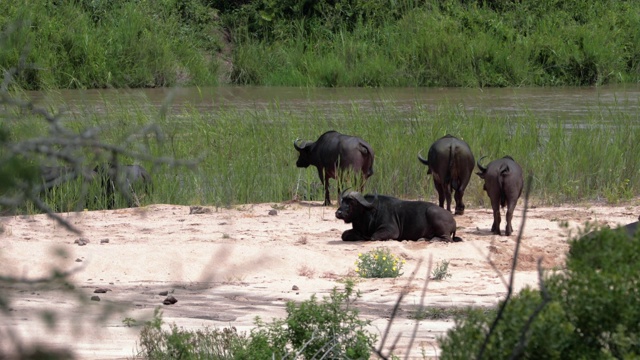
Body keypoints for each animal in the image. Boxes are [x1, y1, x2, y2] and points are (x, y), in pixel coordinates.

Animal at [332, 191, 462, 242]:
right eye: (342, 201)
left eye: (352, 203)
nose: (338, 213)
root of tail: (453, 220)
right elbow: (344, 235)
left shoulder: (391, 230)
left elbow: (373, 237)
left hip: (433, 213)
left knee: (447, 239)